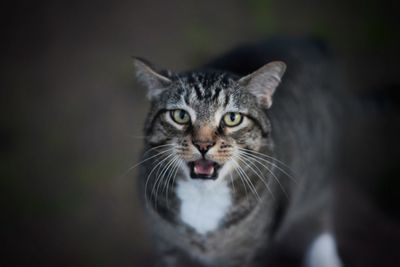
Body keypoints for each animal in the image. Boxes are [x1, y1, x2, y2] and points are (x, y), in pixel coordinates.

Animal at [134, 38, 344, 267]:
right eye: (180, 115)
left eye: (232, 118)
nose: (203, 144)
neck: (203, 199)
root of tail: (308, 40)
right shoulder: (168, 248)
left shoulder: (245, 254)